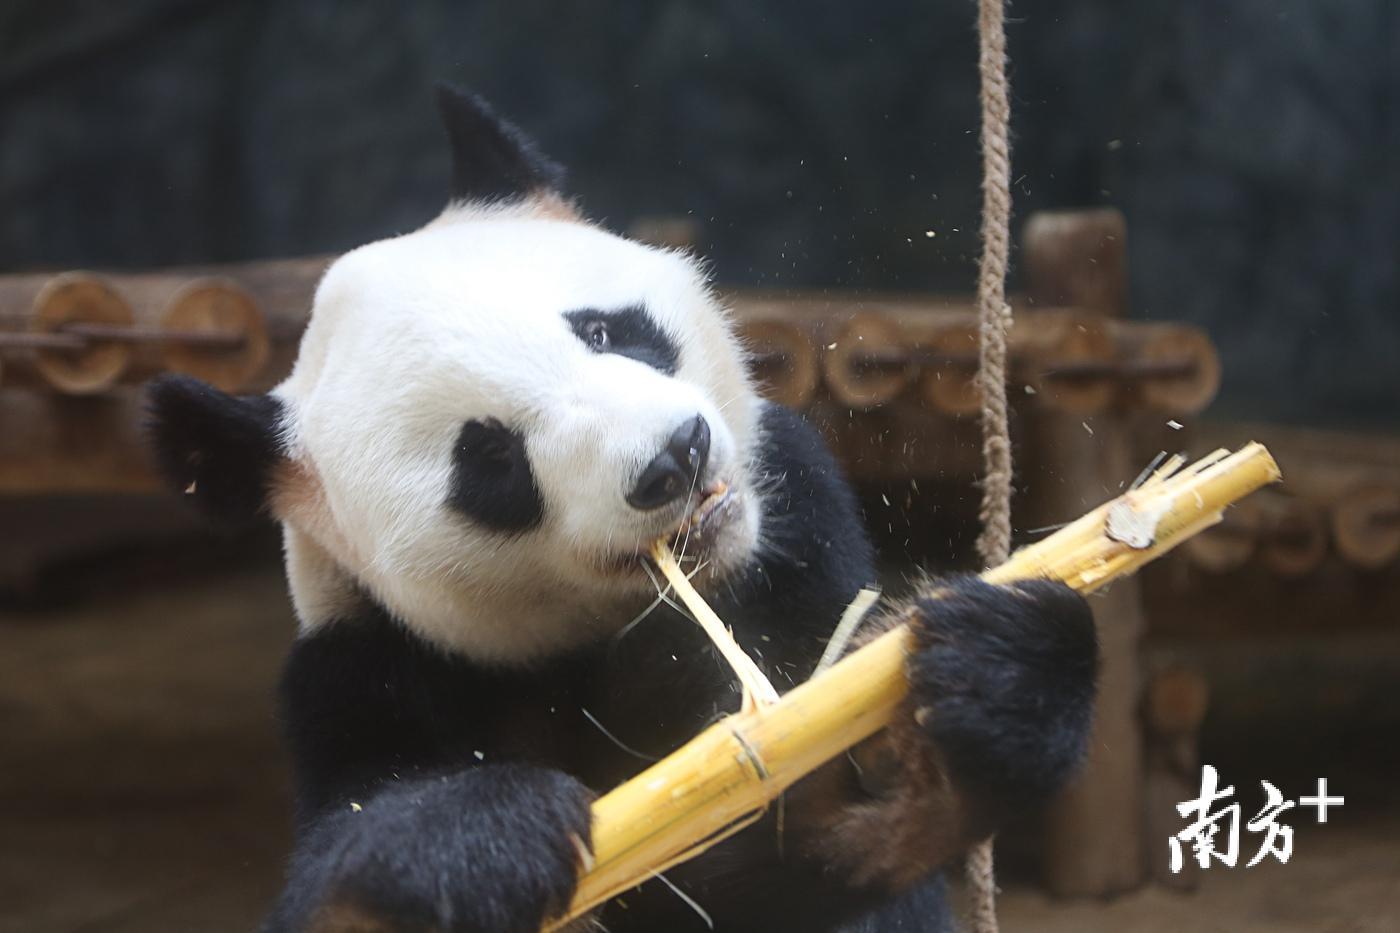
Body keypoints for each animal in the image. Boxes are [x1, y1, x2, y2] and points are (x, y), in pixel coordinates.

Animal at [147, 83, 1097, 924]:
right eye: (491, 459)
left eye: (603, 330)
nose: (673, 458)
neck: (621, 626)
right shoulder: (366, 663)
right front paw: (477, 839)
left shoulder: (794, 542)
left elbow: (798, 828)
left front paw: (983, 685)